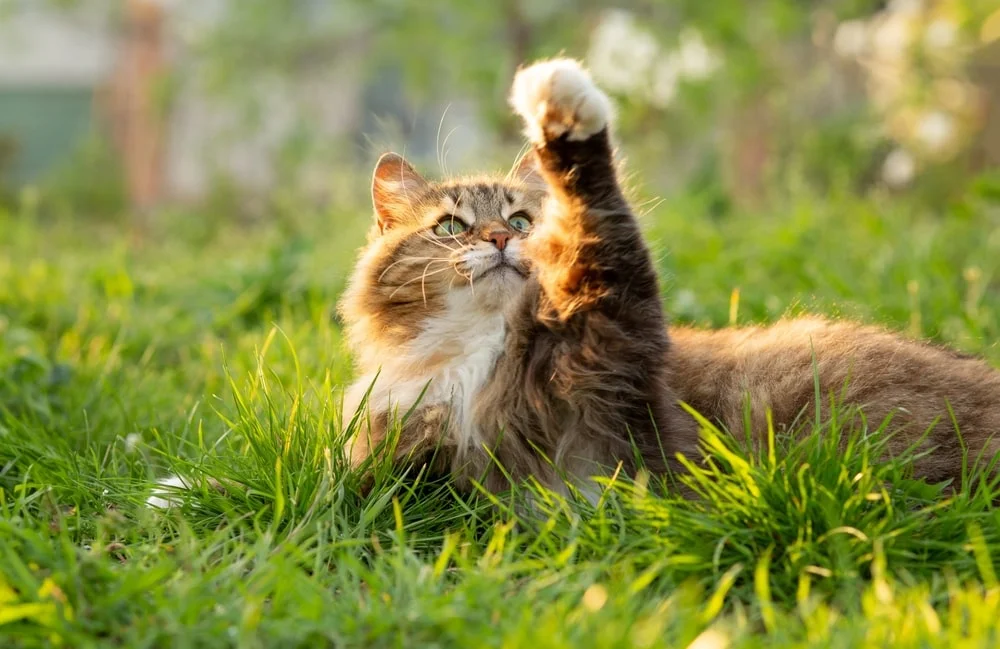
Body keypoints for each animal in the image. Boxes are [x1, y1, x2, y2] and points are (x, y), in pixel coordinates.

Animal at [338, 58, 1000, 494]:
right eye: (451, 227)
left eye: (521, 220)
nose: (500, 240)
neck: (482, 352)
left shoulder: (617, 343)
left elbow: (600, 212)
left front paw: (561, 104)